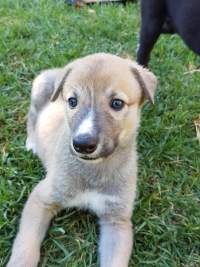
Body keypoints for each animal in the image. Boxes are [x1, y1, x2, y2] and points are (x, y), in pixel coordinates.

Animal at [7, 52, 156, 267]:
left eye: (117, 103)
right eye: (72, 101)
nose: (83, 144)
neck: (94, 170)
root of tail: (57, 70)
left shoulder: (117, 220)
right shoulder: (42, 197)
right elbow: (25, 247)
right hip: (39, 89)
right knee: (32, 115)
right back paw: (32, 141)